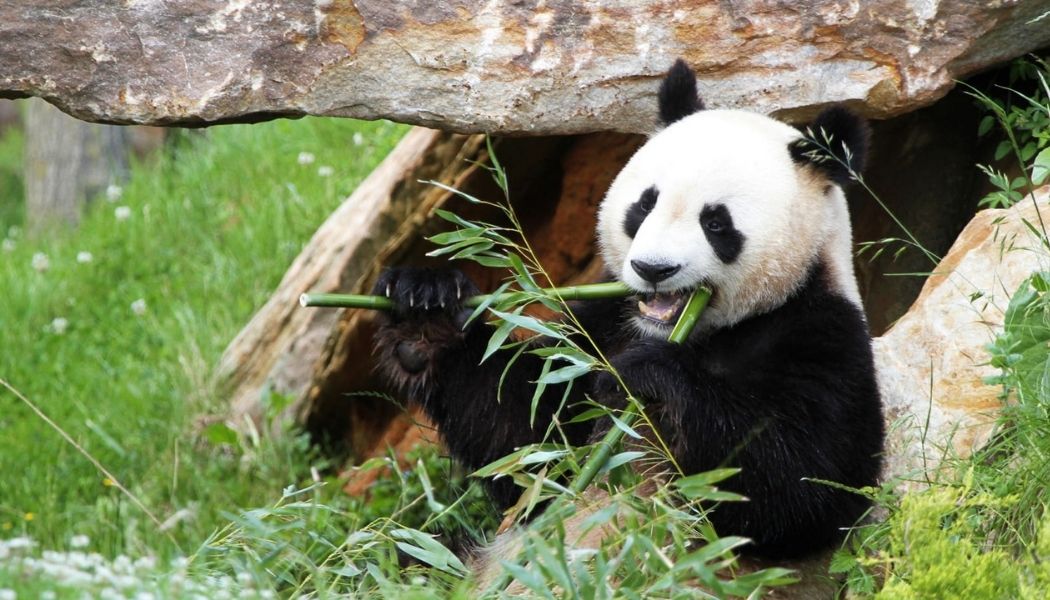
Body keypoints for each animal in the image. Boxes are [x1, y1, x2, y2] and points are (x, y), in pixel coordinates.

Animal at [371, 59, 884, 561]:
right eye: (644, 204)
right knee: (408, 556)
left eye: (716, 223)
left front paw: (649, 375)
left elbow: (802, 487)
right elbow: (527, 437)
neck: (699, 332)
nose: (653, 268)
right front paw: (425, 308)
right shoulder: (604, 325)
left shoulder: (819, 334)